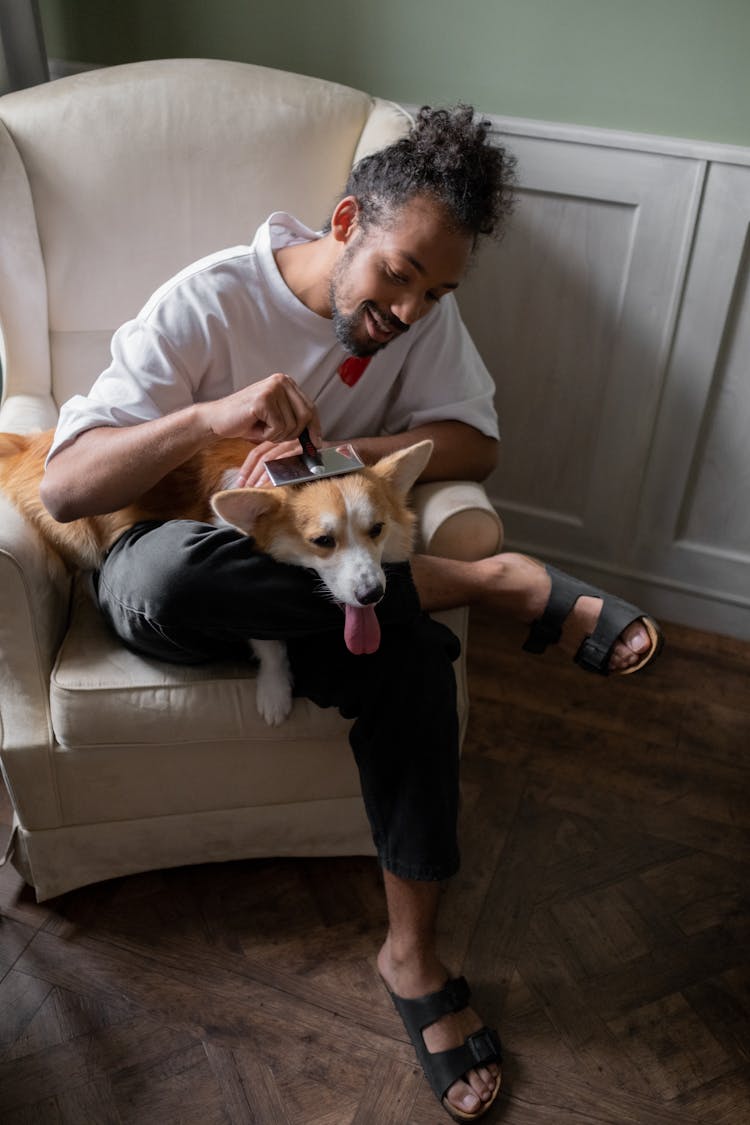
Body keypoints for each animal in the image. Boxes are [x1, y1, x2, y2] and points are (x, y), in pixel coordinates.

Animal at [0, 425, 434, 724]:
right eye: (322, 541)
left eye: (376, 529)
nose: (372, 595)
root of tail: (29, 442)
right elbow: (268, 641)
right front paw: (274, 693)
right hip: (80, 529)